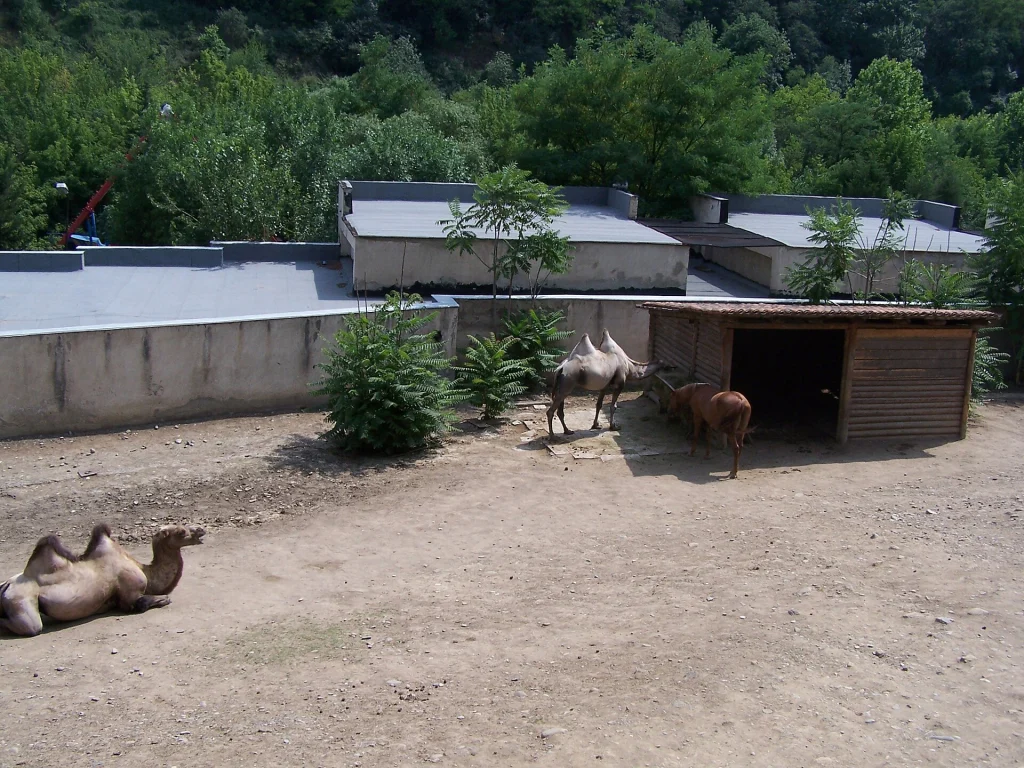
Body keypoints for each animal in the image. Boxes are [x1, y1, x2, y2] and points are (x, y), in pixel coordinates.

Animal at [0, 523, 204, 637]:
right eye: (180, 531)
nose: (201, 530)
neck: (144, 570)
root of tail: (6, 586)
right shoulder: (131, 594)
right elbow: (145, 602)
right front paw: (163, 599)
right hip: (22, 601)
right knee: (32, 627)